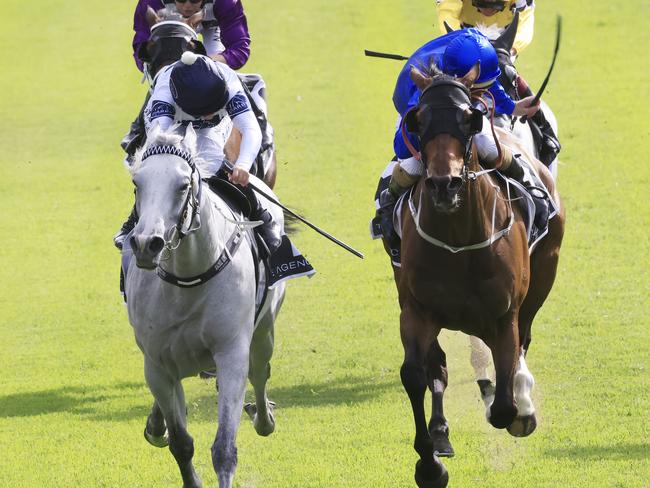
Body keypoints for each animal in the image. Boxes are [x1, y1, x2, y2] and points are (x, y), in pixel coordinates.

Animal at [123, 124, 282, 486]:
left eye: (183, 185)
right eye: (138, 183)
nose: (146, 244)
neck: (188, 279)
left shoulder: (231, 352)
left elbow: (224, 448)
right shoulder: (157, 363)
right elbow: (181, 442)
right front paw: (164, 431)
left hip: (264, 331)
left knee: (260, 371)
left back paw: (263, 416)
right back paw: (156, 424)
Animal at [388, 63, 564, 486]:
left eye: (470, 119)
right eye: (418, 120)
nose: (444, 184)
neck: (458, 240)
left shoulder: (503, 313)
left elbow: (503, 402)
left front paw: (517, 405)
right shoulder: (416, 309)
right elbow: (417, 374)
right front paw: (430, 464)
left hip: (543, 275)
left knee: (522, 342)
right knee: (438, 368)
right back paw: (441, 433)